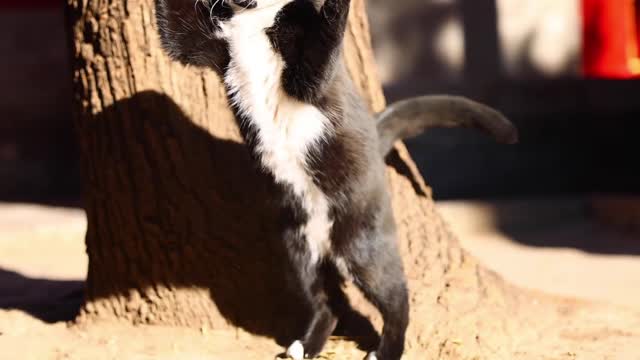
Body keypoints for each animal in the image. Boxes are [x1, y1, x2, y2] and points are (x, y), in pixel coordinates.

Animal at [156, 1, 520, 358]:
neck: (256, 21)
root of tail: (375, 132)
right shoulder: (208, 46)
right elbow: (173, 31)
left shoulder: (310, 74)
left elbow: (324, 48)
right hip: (299, 250)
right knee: (327, 304)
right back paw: (305, 346)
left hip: (360, 247)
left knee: (397, 297)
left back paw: (386, 351)